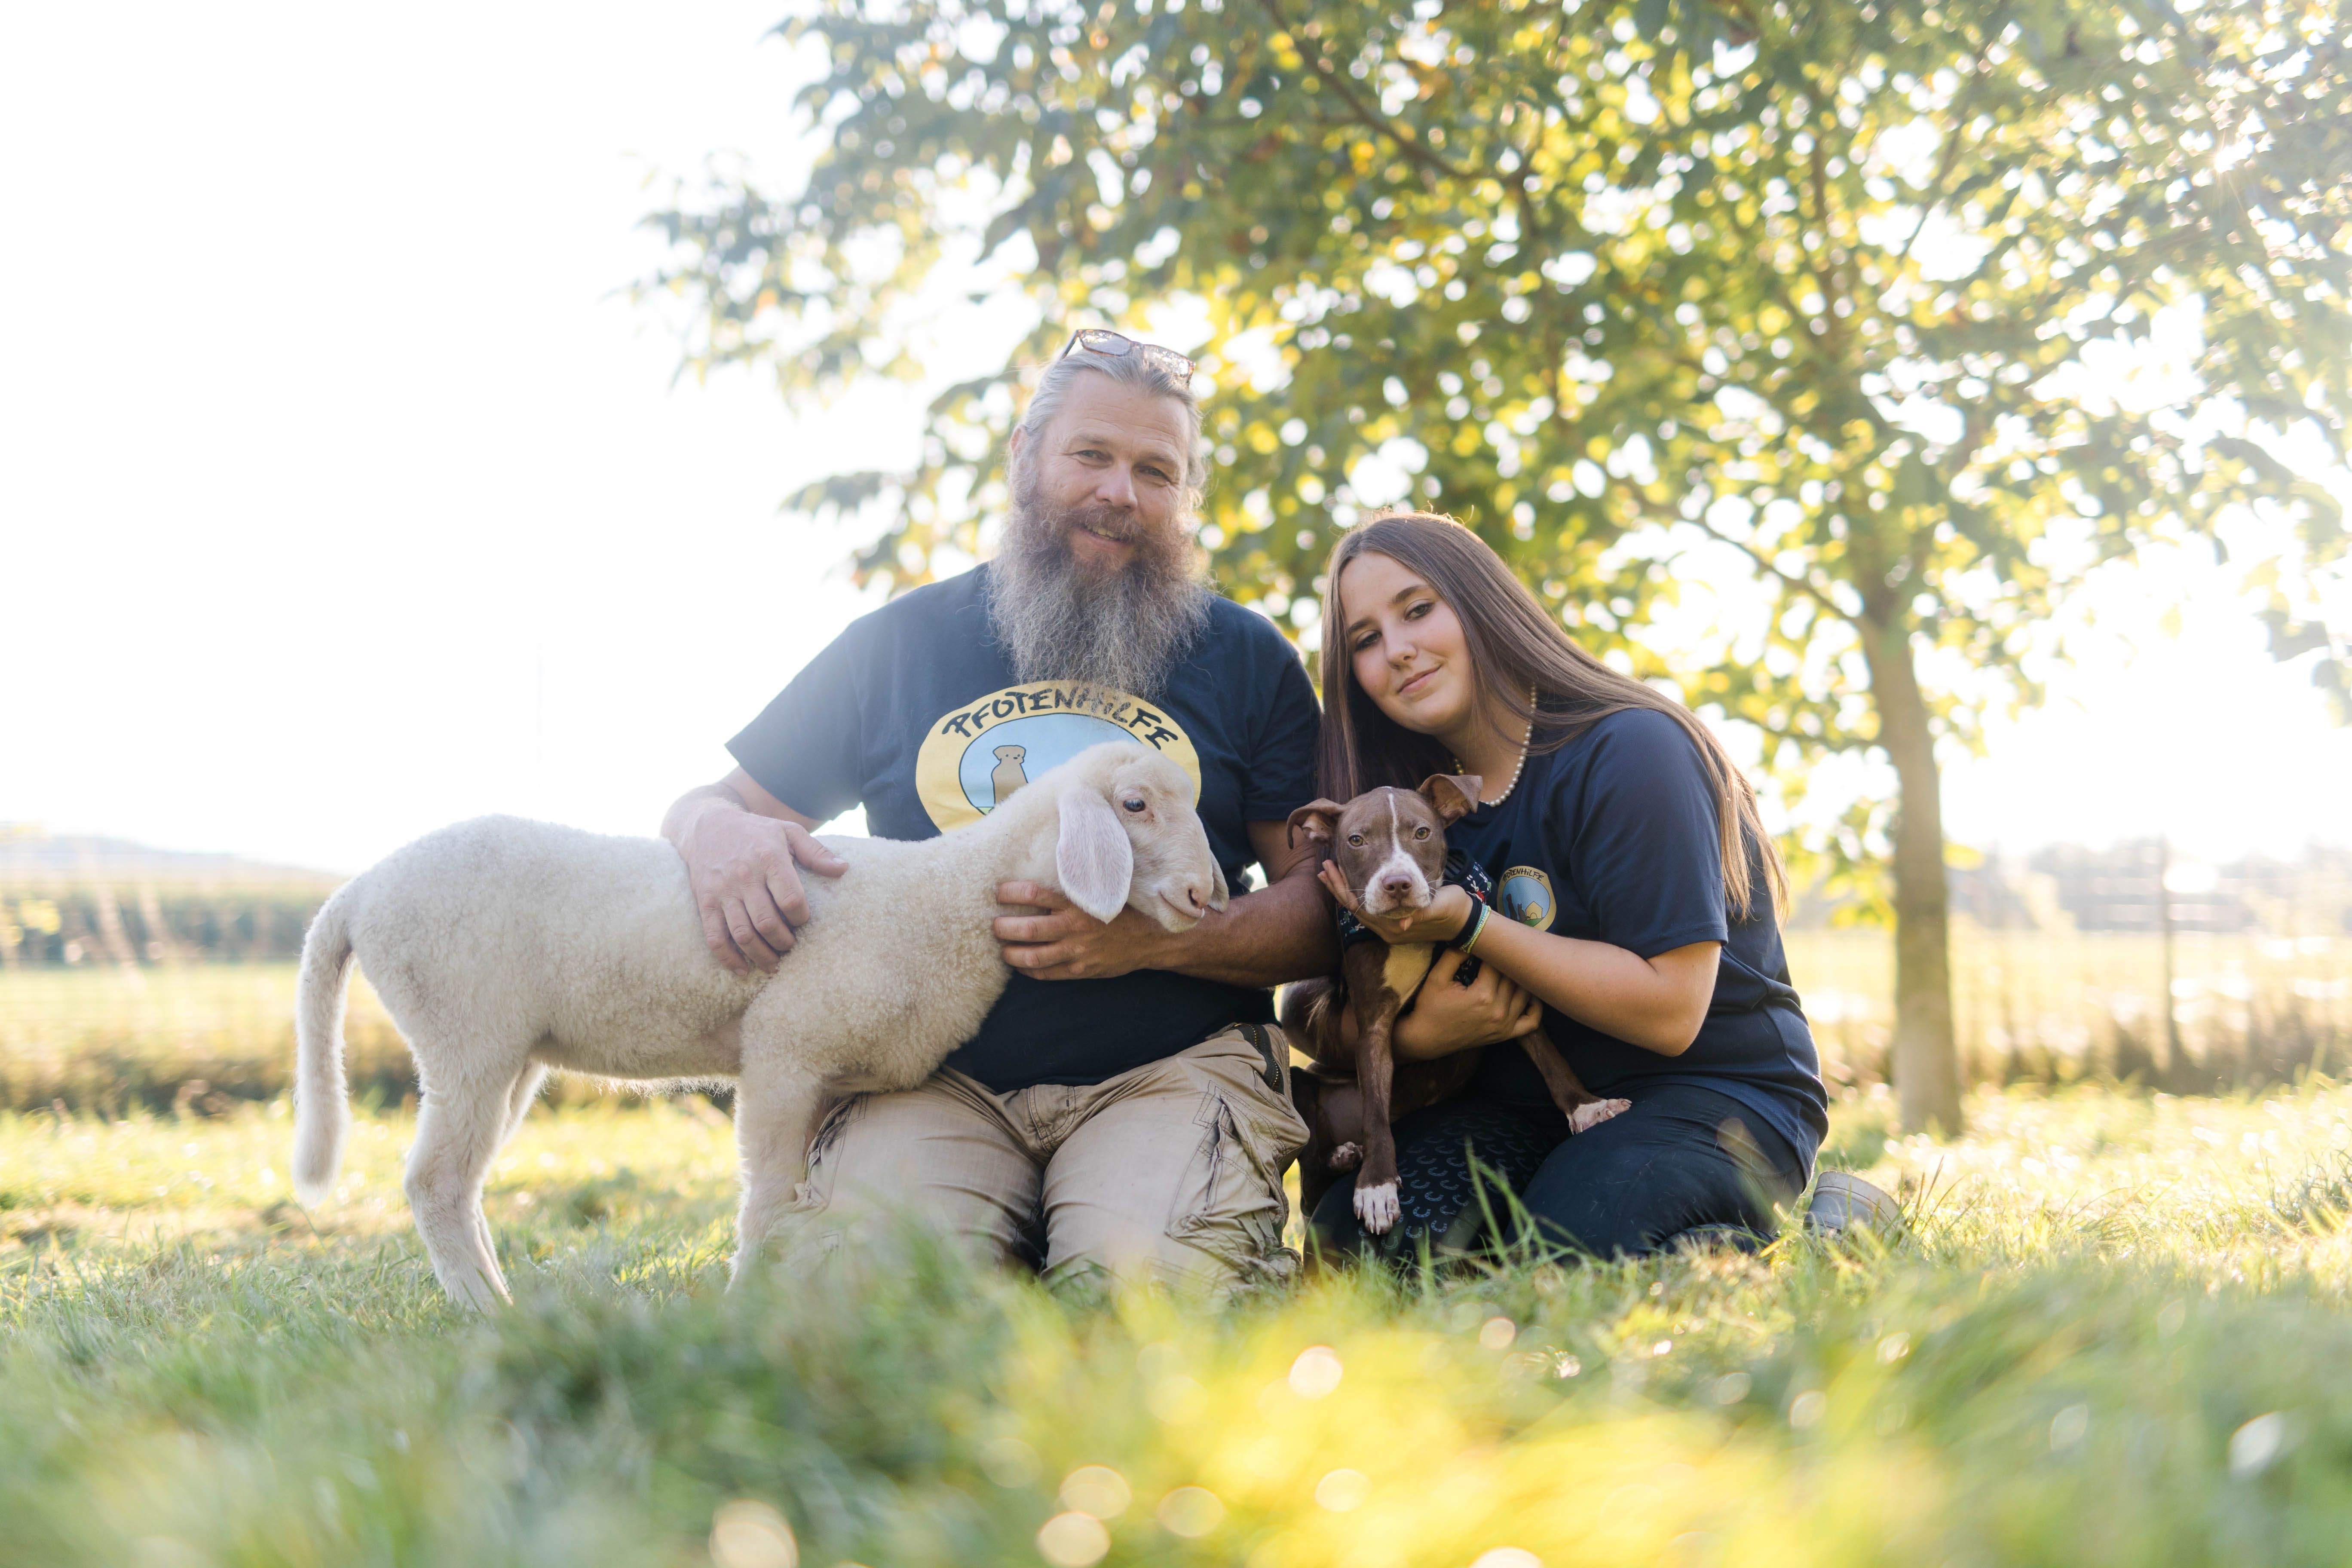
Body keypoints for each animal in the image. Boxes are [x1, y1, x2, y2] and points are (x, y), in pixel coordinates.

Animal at [285, 743, 1223, 1307]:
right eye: (1135, 804)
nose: (1206, 897)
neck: (947, 897)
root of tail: (356, 893)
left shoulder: (825, 1074)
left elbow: (805, 1198)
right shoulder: (785, 1048)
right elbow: (768, 1196)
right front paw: (746, 1302)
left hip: (505, 1054)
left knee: (462, 1182)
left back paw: (497, 1297)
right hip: (464, 1029)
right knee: (434, 1182)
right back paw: (486, 1311)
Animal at [1279, 780, 1627, 1231]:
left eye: (1422, 833)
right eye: (1356, 840)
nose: (1397, 884)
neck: (1419, 939)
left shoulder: (1513, 989)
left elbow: (1550, 1057)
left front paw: (1587, 1107)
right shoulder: (1372, 1027)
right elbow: (1375, 1113)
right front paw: (1377, 1187)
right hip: (1297, 1084)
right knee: (1310, 1177)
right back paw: (1342, 1158)